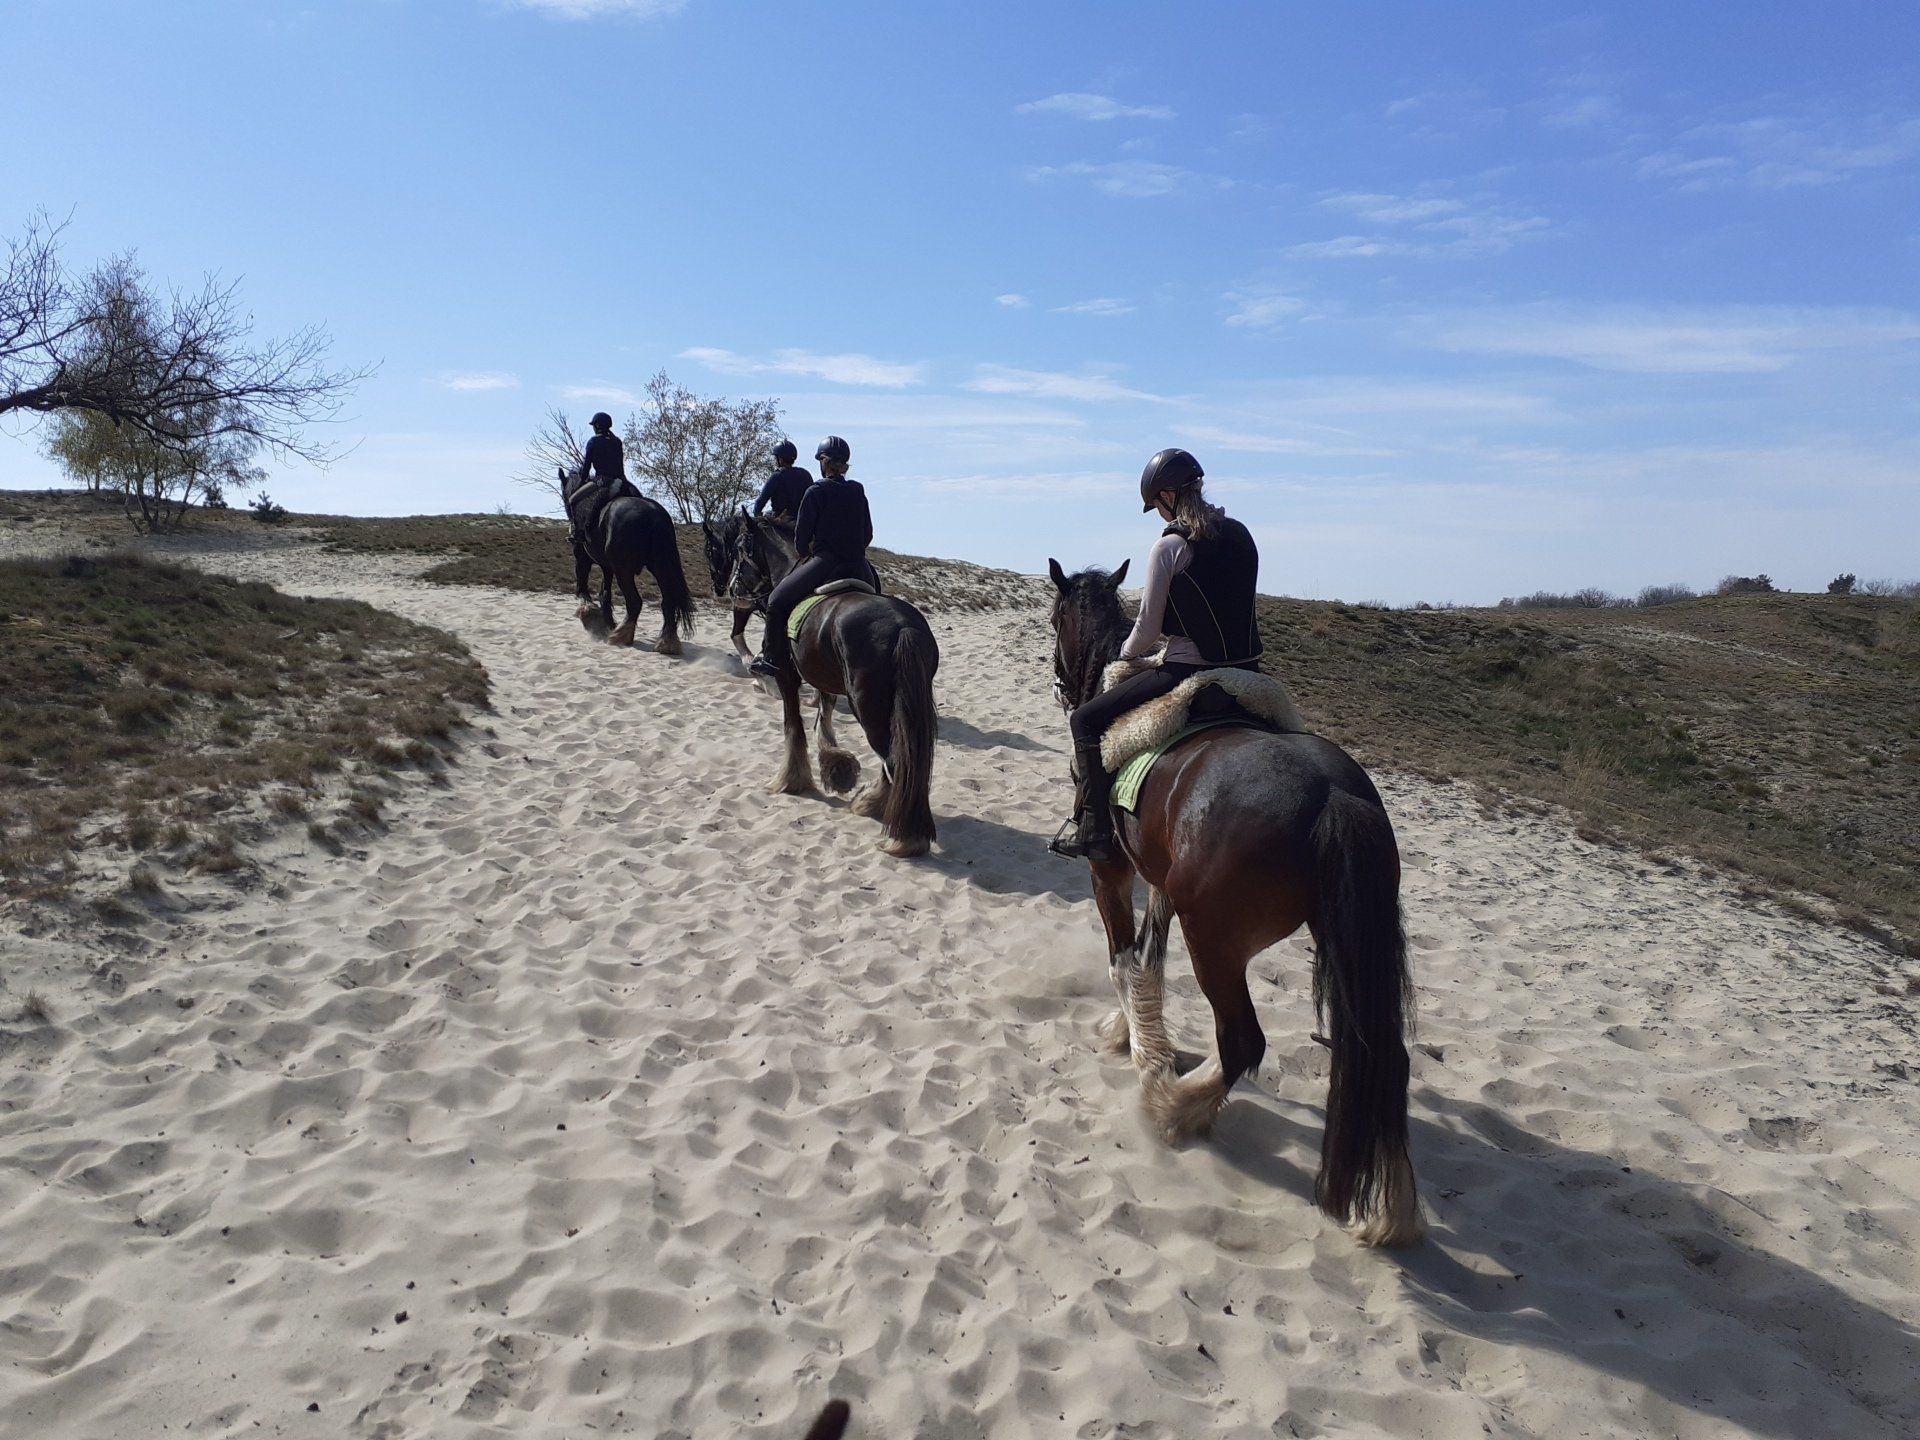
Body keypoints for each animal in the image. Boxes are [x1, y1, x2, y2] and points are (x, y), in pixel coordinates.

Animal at [561, 466, 695, 653]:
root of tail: (654, 516)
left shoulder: (583, 559)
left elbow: (583, 589)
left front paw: (590, 614)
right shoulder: (607, 567)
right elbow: (605, 593)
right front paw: (607, 621)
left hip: (624, 570)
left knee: (634, 602)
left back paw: (621, 635)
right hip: (660, 567)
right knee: (668, 602)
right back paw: (666, 642)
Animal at [737, 513, 940, 858]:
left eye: (739, 547)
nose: (732, 589)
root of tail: (903, 626)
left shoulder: (787, 677)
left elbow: (794, 726)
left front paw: (791, 780)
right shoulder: (824, 678)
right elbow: (824, 715)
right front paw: (836, 766)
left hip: (868, 706)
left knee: (893, 760)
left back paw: (895, 828)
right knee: (899, 759)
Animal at [1046, 560, 1421, 1247]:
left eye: (1057, 618)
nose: (1061, 680)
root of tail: (1332, 795)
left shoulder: (1110, 869)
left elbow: (1122, 961)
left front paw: (1139, 1049)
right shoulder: (1162, 882)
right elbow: (1148, 963)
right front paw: (1141, 1037)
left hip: (1216, 941)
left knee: (1242, 1041)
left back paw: (1170, 1107)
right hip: (1341, 937)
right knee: (1385, 1055)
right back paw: (1391, 1211)